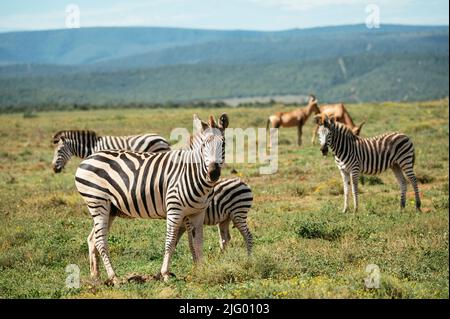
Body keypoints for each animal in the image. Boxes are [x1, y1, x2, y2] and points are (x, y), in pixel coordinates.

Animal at [74, 114, 229, 284]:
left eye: (223, 144)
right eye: (203, 145)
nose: (213, 174)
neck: (191, 172)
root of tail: (87, 159)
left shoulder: (197, 213)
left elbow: (197, 243)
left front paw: (200, 271)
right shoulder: (174, 209)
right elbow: (170, 241)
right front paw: (165, 274)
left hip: (110, 210)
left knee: (92, 238)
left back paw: (95, 276)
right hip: (97, 201)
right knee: (101, 240)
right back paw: (114, 277)